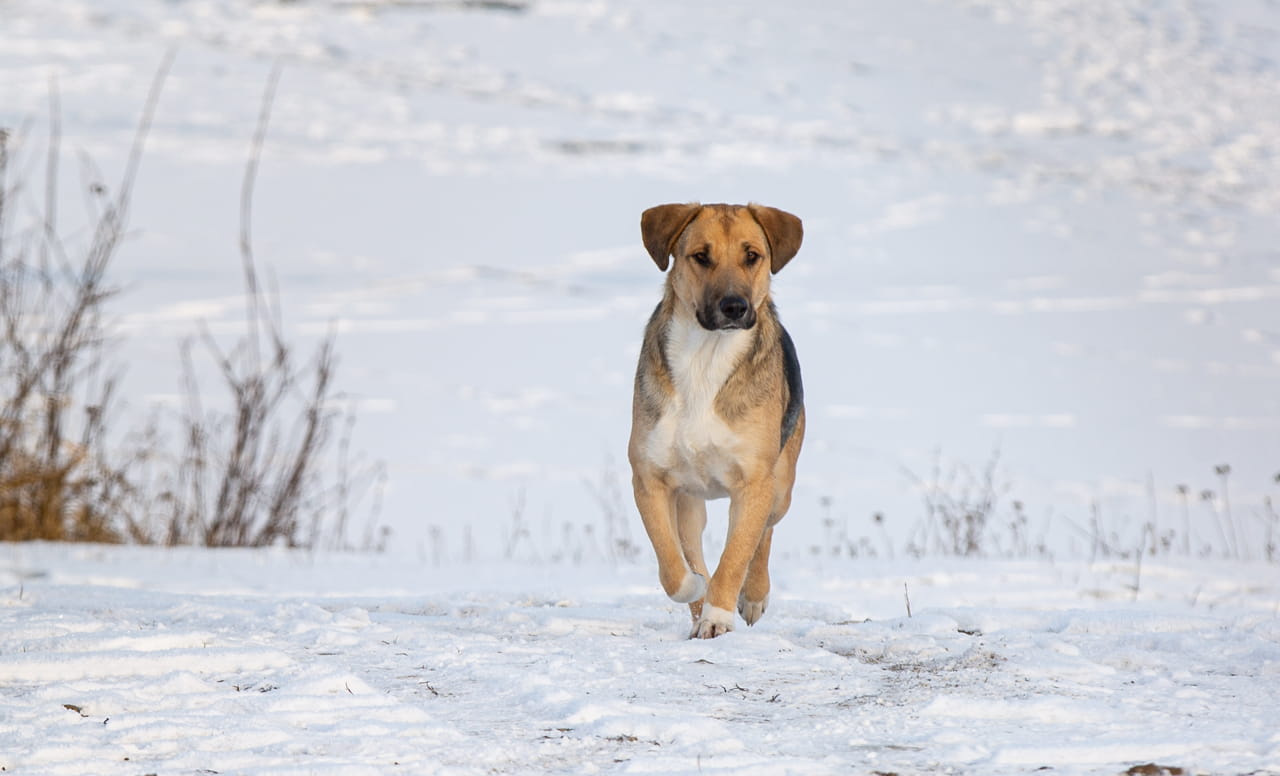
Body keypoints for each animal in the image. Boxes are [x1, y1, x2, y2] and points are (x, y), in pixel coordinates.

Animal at [627, 203, 803, 642]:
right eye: (700, 256)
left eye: (752, 255)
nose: (734, 307)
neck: (706, 358)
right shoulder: (650, 478)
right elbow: (674, 564)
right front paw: (697, 592)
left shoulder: (754, 481)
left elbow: (737, 554)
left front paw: (719, 616)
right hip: (692, 500)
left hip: (781, 485)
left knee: (765, 533)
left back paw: (753, 595)